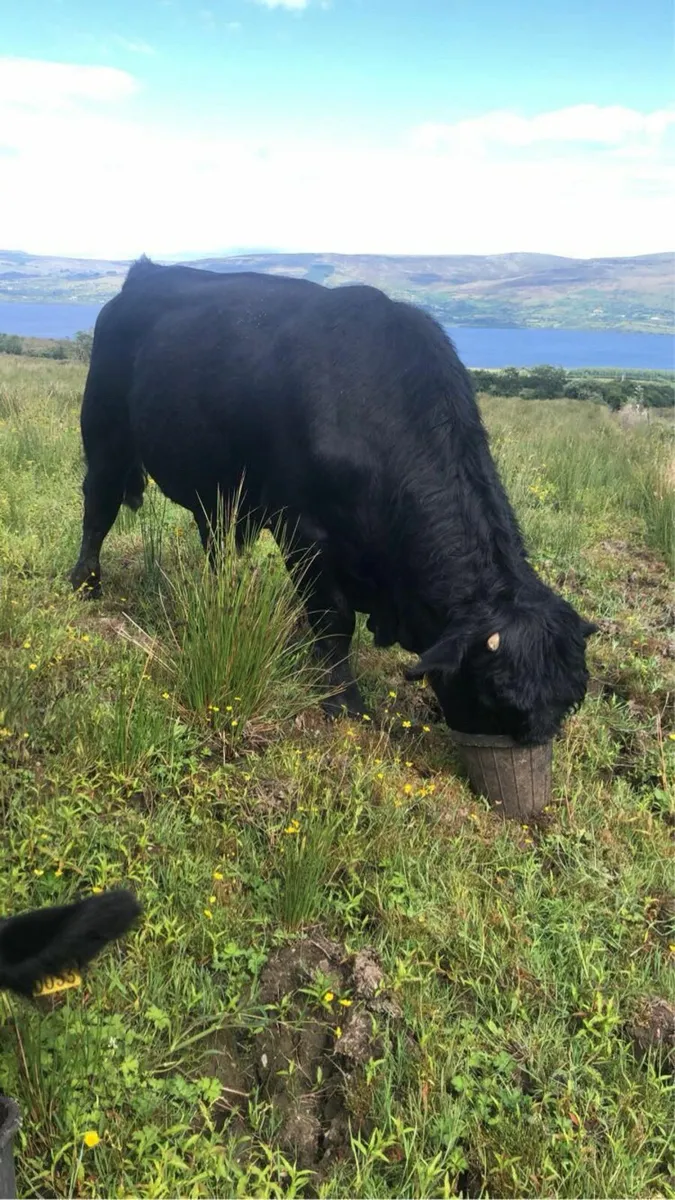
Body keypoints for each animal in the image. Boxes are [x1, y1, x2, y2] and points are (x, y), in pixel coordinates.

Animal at [70, 258, 596, 745]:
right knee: (98, 508)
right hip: (105, 432)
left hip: (218, 489)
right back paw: (86, 583)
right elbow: (333, 621)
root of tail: (146, 272)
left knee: (215, 543)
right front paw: (343, 701)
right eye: (495, 697)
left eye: (571, 701)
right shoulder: (305, 533)